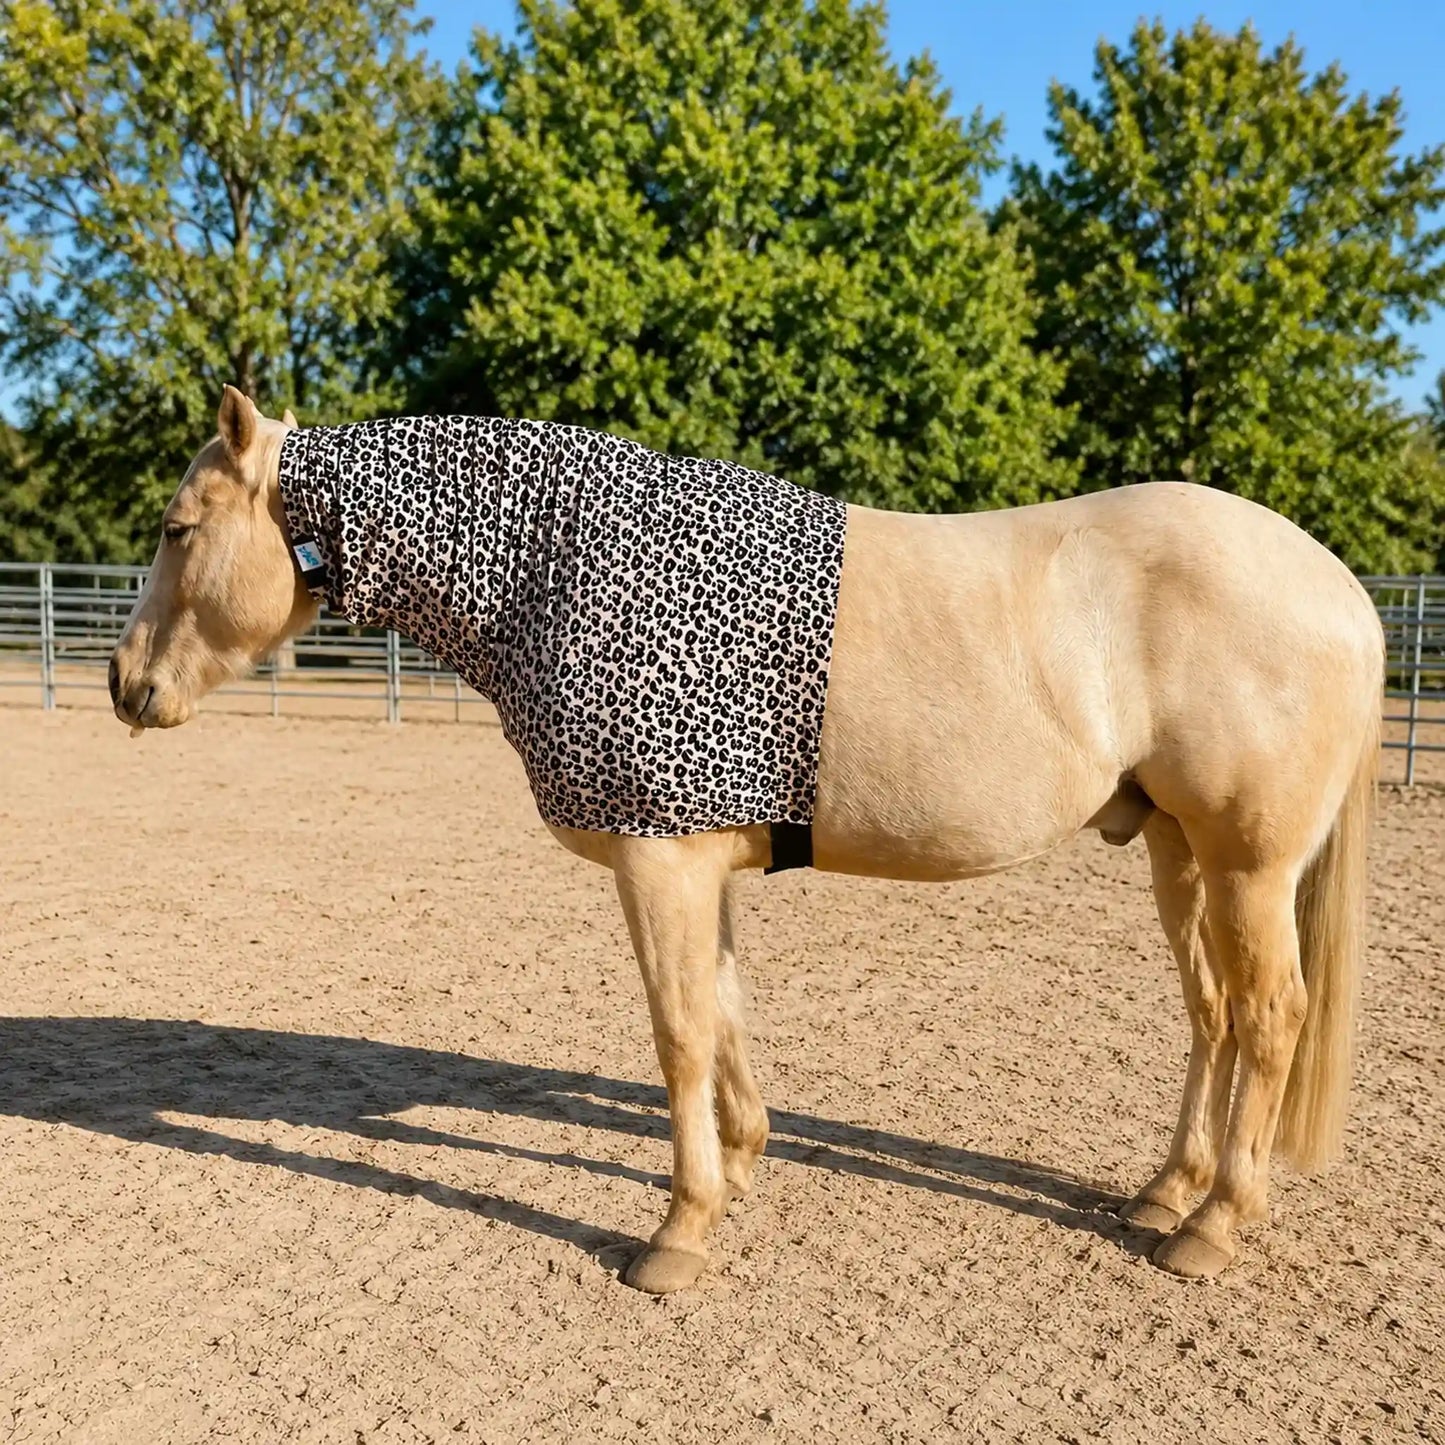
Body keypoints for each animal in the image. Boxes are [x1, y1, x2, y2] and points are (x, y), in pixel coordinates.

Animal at [109, 387, 1383, 1294]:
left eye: (177, 528)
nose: (127, 685)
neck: (566, 571)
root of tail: (1344, 593)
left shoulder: (658, 862)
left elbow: (675, 1032)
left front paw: (678, 1230)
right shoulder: (700, 862)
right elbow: (722, 1009)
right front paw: (744, 1159)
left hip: (1249, 866)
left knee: (1269, 1016)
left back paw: (1213, 1222)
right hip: (1181, 855)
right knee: (1212, 1014)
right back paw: (1164, 1191)